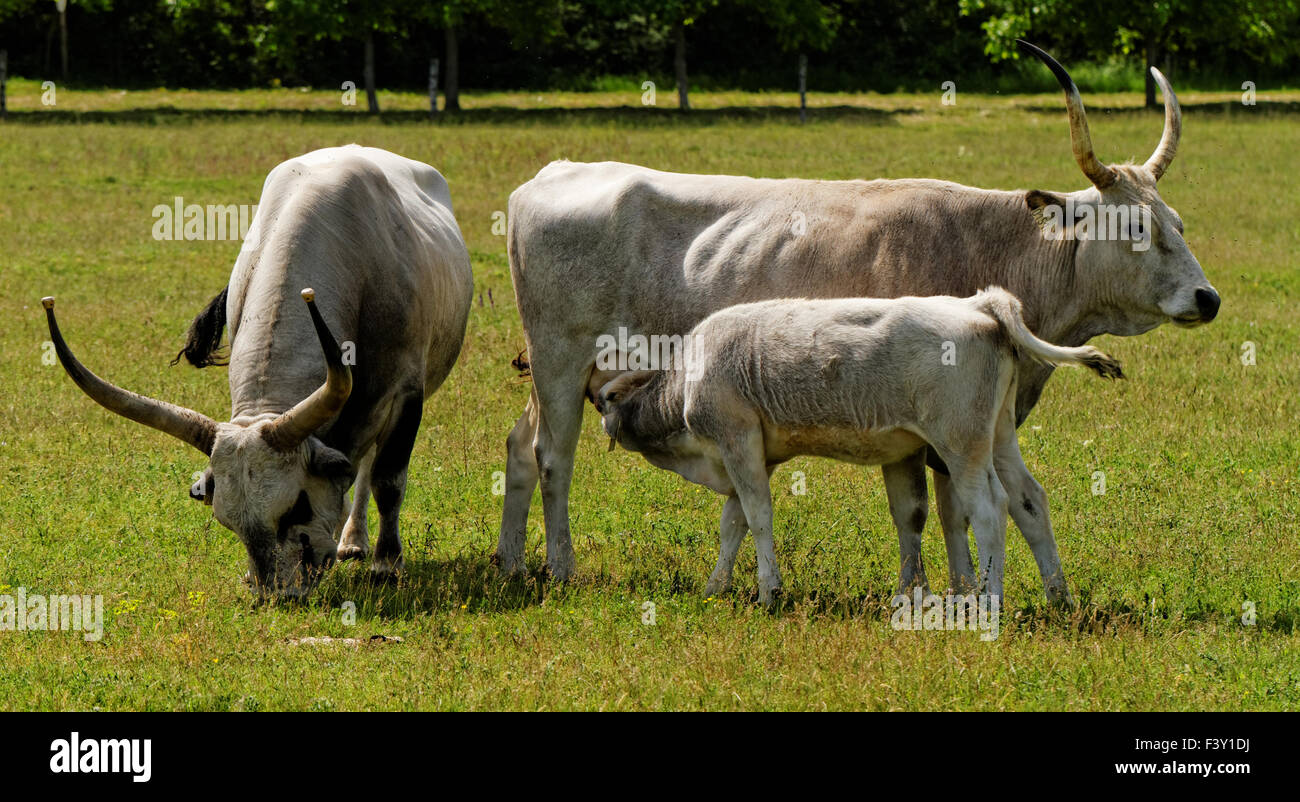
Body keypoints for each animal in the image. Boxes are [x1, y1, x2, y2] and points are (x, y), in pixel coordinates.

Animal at [42, 145, 474, 599]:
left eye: (297, 506)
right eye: (228, 521)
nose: (278, 594)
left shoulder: (405, 394)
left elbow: (388, 481)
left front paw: (388, 565)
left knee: (370, 466)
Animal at [589, 288, 1123, 605]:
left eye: (606, 399)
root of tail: (979, 303)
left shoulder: (736, 439)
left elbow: (757, 516)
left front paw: (768, 592)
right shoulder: (758, 453)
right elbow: (733, 523)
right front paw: (716, 587)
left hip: (962, 445)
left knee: (991, 508)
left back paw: (989, 601)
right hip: (999, 437)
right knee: (1030, 502)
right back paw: (1059, 597)